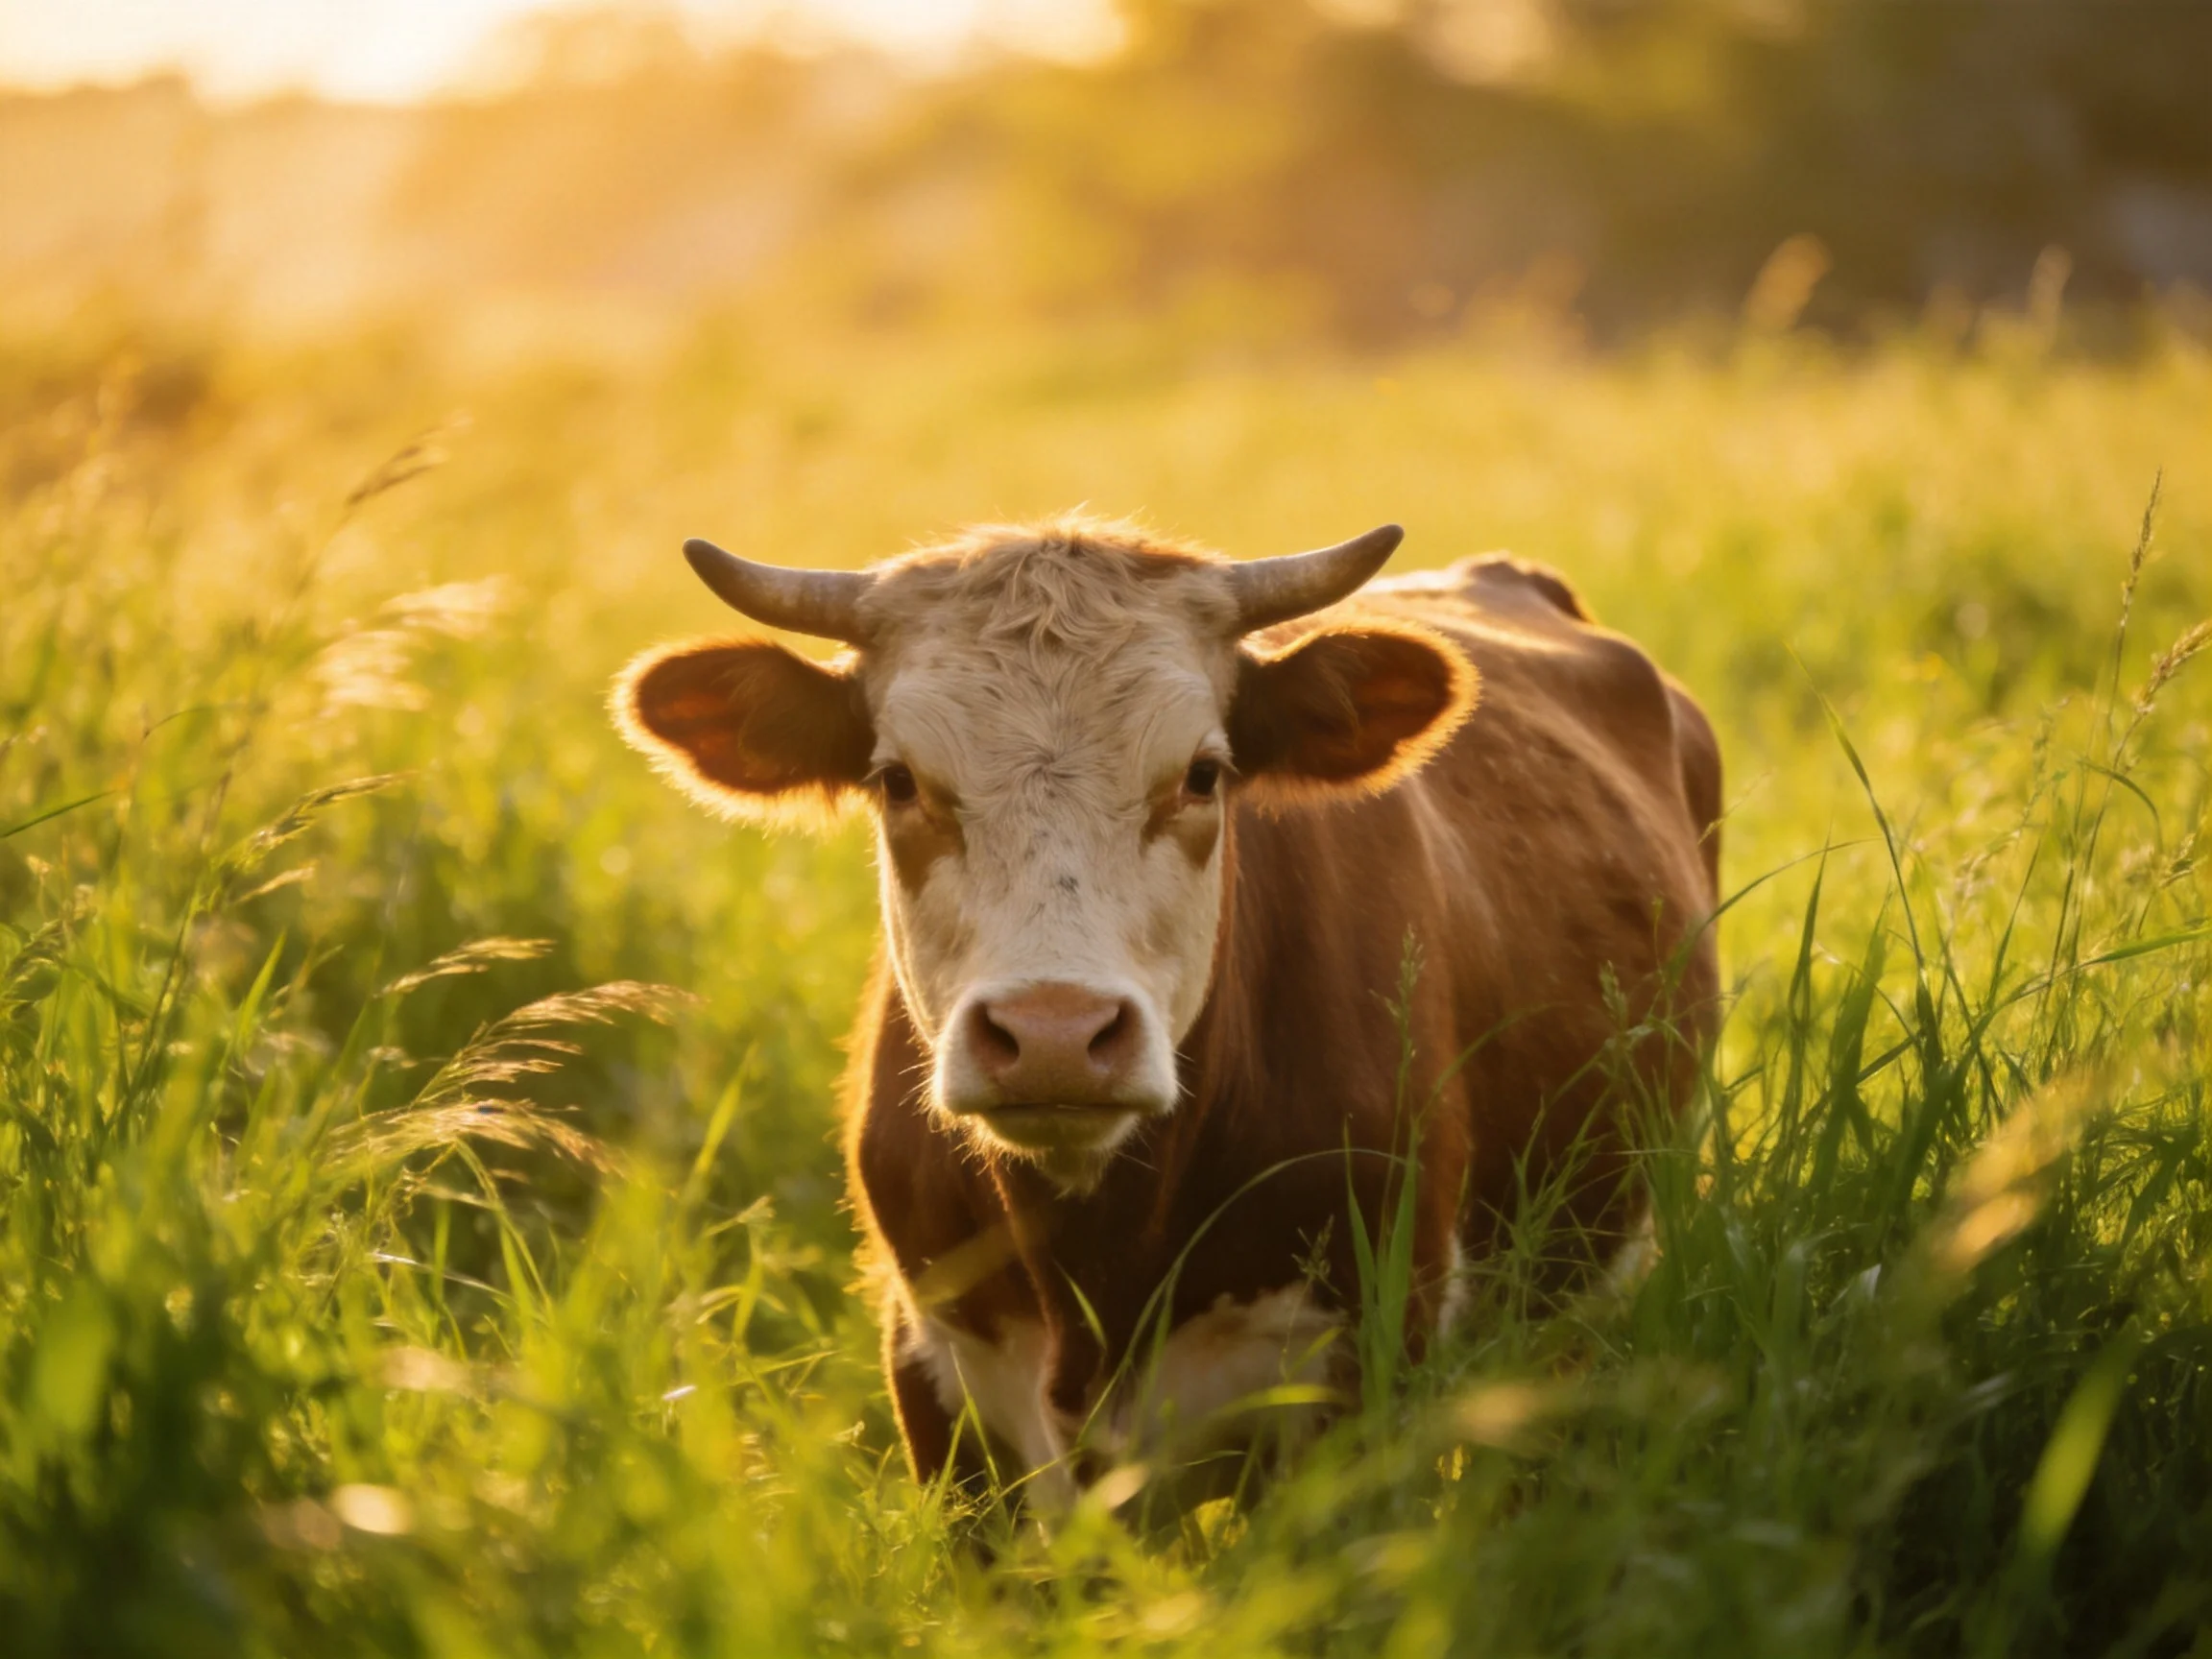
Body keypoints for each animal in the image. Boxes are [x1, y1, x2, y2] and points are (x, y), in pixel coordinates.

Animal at [614, 516, 1721, 1504]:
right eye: (897, 781)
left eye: (1202, 773)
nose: (1054, 1037)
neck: (1094, 1259)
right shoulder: (936, 1375)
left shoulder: (1375, 1343)